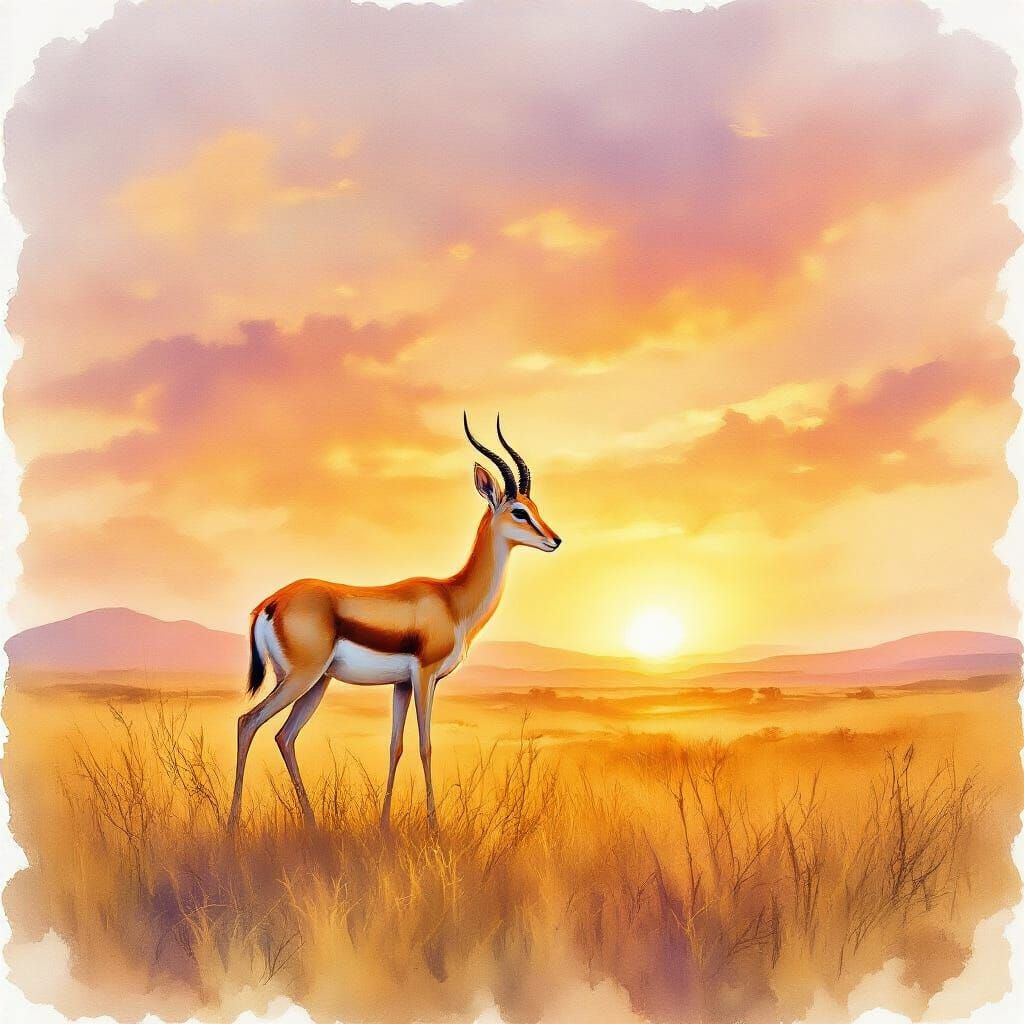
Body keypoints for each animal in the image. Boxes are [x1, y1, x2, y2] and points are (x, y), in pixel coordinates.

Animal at [227, 415, 561, 831]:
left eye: (534, 506)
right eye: (519, 511)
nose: (555, 540)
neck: (452, 599)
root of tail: (268, 604)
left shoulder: (402, 684)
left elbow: (395, 746)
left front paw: (384, 825)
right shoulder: (425, 676)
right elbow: (425, 745)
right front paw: (435, 828)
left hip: (317, 682)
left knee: (285, 736)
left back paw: (313, 824)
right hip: (301, 678)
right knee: (248, 722)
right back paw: (232, 827)